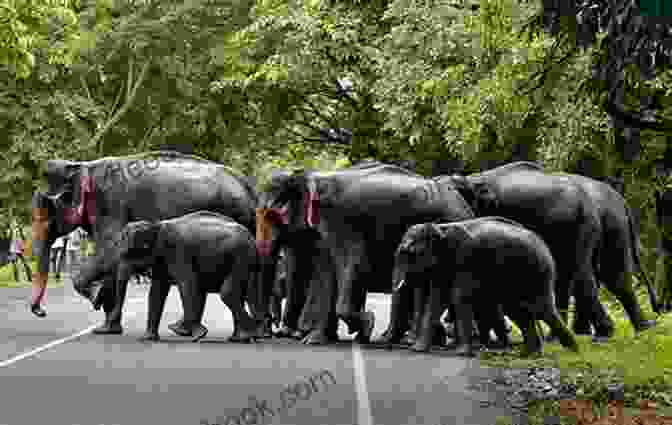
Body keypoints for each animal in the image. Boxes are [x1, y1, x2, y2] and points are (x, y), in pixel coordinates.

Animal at [114, 210, 262, 342]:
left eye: (128, 254)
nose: (117, 328)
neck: (156, 226)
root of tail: (252, 239)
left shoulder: (177, 251)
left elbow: (187, 283)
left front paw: (198, 334)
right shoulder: (162, 258)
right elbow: (157, 291)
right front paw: (147, 338)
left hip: (241, 257)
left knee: (228, 294)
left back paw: (252, 333)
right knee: (237, 294)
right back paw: (239, 338)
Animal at [255, 161, 476, 342]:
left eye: (272, 214)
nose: (271, 333)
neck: (311, 175)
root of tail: (464, 205)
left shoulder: (341, 221)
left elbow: (353, 266)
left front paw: (367, 325)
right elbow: (327, 273)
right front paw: (314, 340)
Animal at [392, 217, 580, 356]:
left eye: (409, 253)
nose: (408, 344)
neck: (440, 228)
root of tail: (543, 243)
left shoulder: (467, 258)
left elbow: (459, 297)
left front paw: (462, 353)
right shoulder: (443, 266)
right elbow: (436, 300)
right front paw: (417, 350)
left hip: (537, 272)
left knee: (542, 309)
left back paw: (572, 350)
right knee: (519, 311)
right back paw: (528, 354)